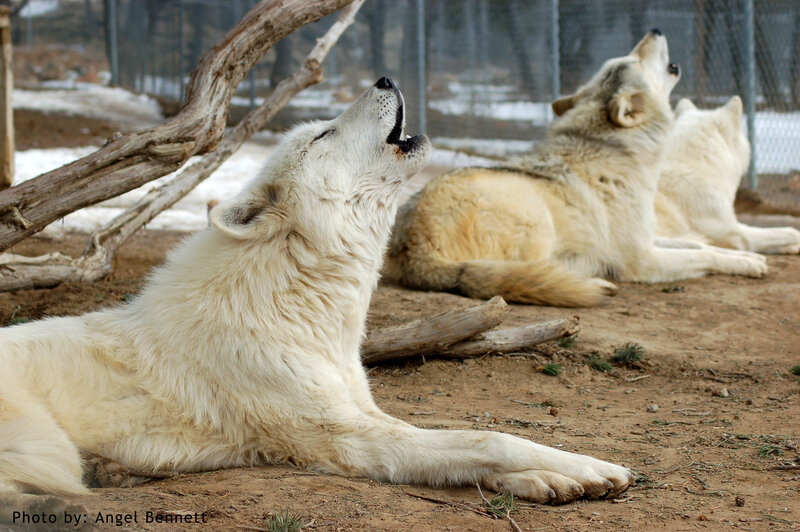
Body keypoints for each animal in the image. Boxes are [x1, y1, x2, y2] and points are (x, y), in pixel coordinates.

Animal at [0, 78, 633, 523]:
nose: (384, 78)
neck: (303, 312)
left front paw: (551, 480)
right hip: (45, 442)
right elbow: (489, 437)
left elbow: (467, 442)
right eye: (324, 134)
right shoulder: (347, 439)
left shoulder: (367, 413)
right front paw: (591, 465)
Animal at [384, 31, 767, 307]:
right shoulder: (643, 260)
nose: (655, 30)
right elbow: (705, 256)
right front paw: (748, 263)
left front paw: (750, 258)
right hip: (535, 216)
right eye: (635, 58)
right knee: (521, 272)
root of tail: (413, 247)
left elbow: (701, 246)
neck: (624, 160)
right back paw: (590, 281)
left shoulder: (648, 237)